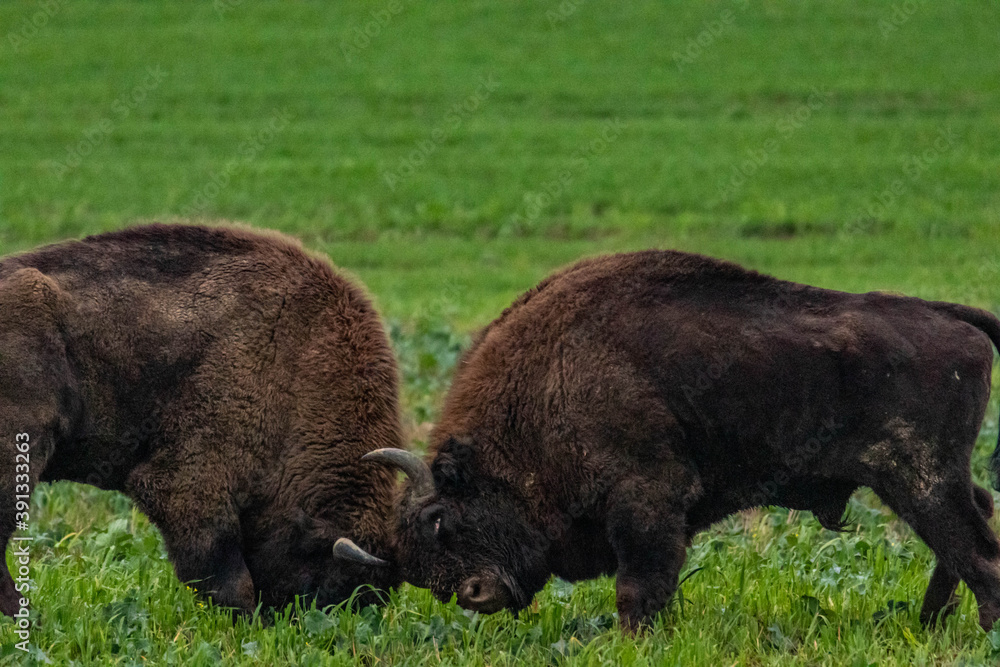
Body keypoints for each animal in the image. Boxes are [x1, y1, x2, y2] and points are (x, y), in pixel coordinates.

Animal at [340, 249, 1000, 632]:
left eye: (441, 520)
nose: (476, 594)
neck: (550, 382)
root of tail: (954, 319)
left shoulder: (648, 500)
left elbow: (640, 584)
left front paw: (635, 639)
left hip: (918, 479)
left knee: (975, 549)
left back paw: (977, 629)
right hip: (930, 479)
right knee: (976, 522)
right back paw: (931, 623)